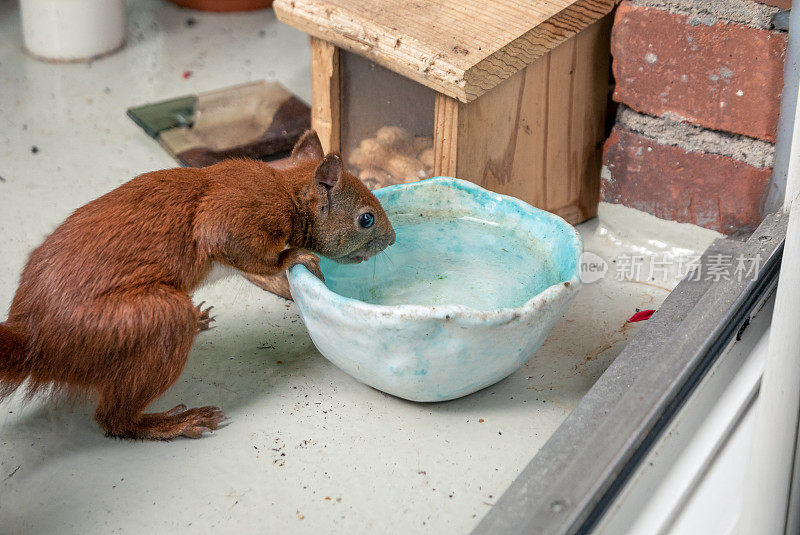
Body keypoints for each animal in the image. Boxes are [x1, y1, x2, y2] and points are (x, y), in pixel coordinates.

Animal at [0, 131, 396, 440]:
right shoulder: (241, 217)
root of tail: (35, 341)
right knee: (113, 420)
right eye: (366, 219)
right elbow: (248, 250)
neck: (286, 187)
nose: (393, 240)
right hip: (143, 321)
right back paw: (173, 423)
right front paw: (297, 258)